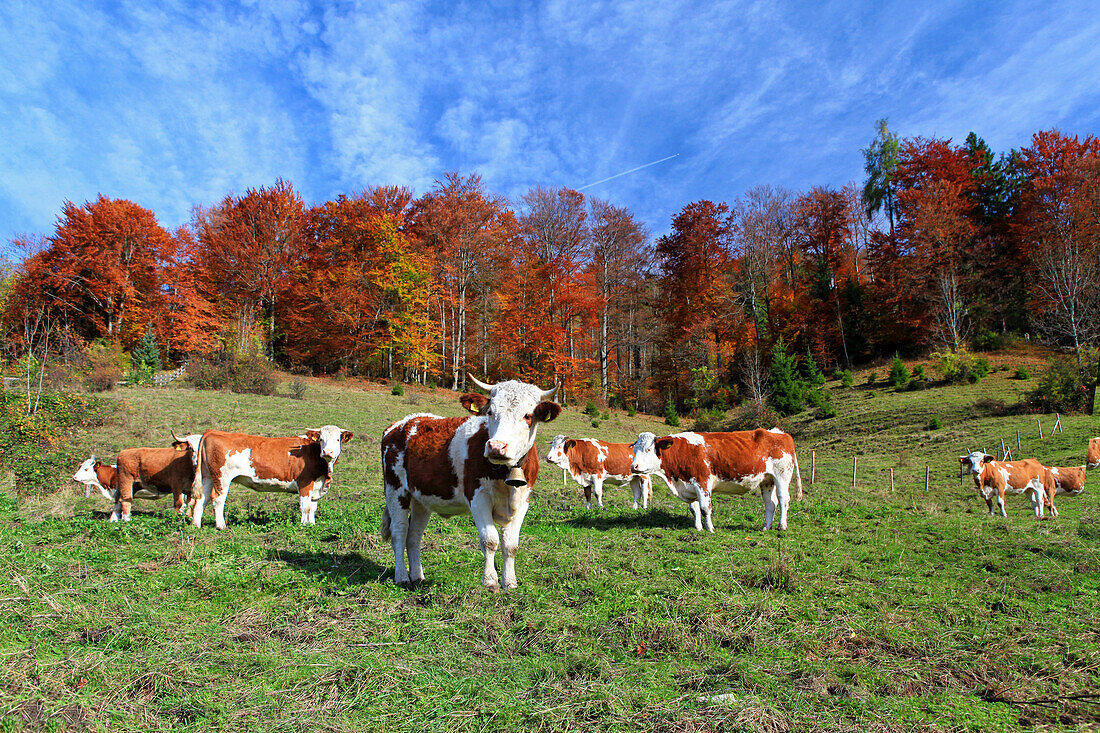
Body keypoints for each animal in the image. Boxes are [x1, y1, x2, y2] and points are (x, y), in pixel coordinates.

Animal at [189, 424, 352, 528]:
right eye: (321, 439)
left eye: (337, 439)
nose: (327, 452)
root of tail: (212, 431)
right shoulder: (305, 482)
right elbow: (305, 507)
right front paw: (304, 525)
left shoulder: (317, 485)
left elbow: (313, 508)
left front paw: (312, 524)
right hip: (222, 477)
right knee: (217, 499)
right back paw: (221, 526)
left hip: (208, 476)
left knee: (201, 499)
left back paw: (196, 525)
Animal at [382, 376, 563, 589]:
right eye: (491, 412)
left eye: (527, 415)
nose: (496, 447)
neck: (504, 473)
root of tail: (404, 422)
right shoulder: (478, 497)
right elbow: (490, 540)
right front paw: (491, 581)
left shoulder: (523, 500)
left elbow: (511, 545)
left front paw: (510, 582)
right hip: (395, 489)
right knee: (399, 531)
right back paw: (402, 576)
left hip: (421, 499)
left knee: (414, 535)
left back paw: (418, 576)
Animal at [633, 429, 805, 530]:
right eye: (634, 450)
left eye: (648, 449)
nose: (633, 466)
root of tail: (779, 432)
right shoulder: (689, 486)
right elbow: (694, 509)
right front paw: (698, 528)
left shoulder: (703, 482)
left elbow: (704, 508)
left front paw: (710, 529)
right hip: (767, 480)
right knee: (770, 503)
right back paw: (766, 527)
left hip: (782, 475)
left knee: (783, 500)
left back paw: (781, 526)